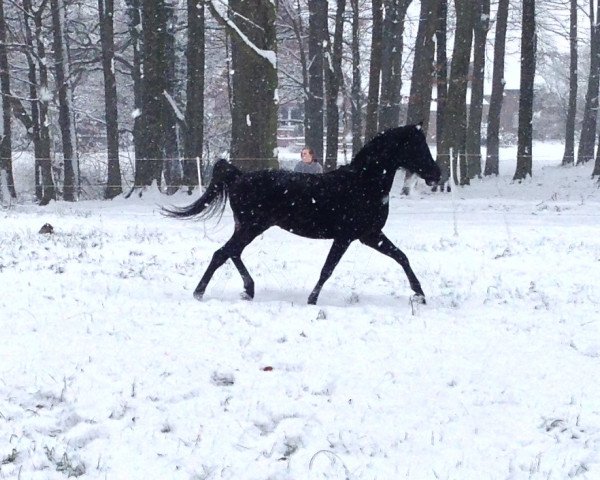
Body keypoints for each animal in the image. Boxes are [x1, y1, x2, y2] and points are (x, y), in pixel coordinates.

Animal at [165, 124, 440, 304]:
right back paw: (200, 293)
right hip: (251, 227)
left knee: (231, 253)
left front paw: (420, 294)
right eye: (416, 146)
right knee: (222, 253)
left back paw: (247, 290)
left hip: (247, 227)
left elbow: (402, 257)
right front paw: (312, 300)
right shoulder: (346, 237)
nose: (436, 174)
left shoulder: (370, 235)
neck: (363, 184)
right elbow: (327, 269)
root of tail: (239, 177)